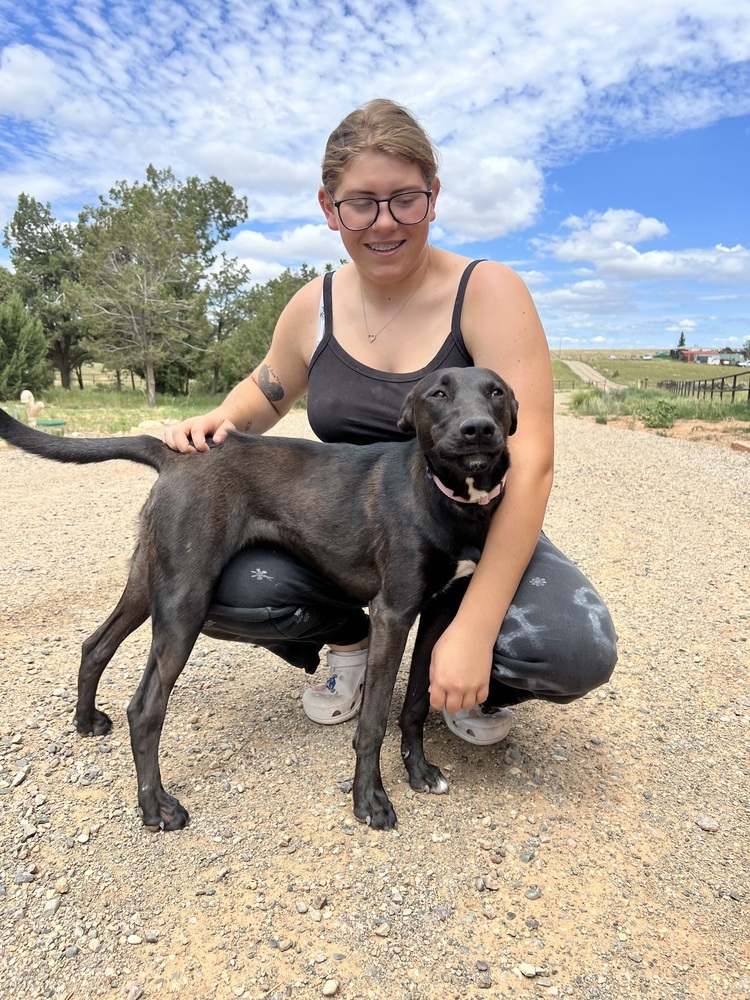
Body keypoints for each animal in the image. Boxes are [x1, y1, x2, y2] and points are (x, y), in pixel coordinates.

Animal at [0, 368, 516, 828]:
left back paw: (86, 721)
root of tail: (176, 454)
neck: (441, 495)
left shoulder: (440, 612)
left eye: (497, 392)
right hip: (185, 599)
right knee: (144, 708)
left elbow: (416, 703)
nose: (478, 429)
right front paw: (369, 800)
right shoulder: (393, 613)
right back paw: (156, 808)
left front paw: (419, 770)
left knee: (95, 644)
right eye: (438, 393)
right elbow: (372, 722)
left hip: (149, 581)